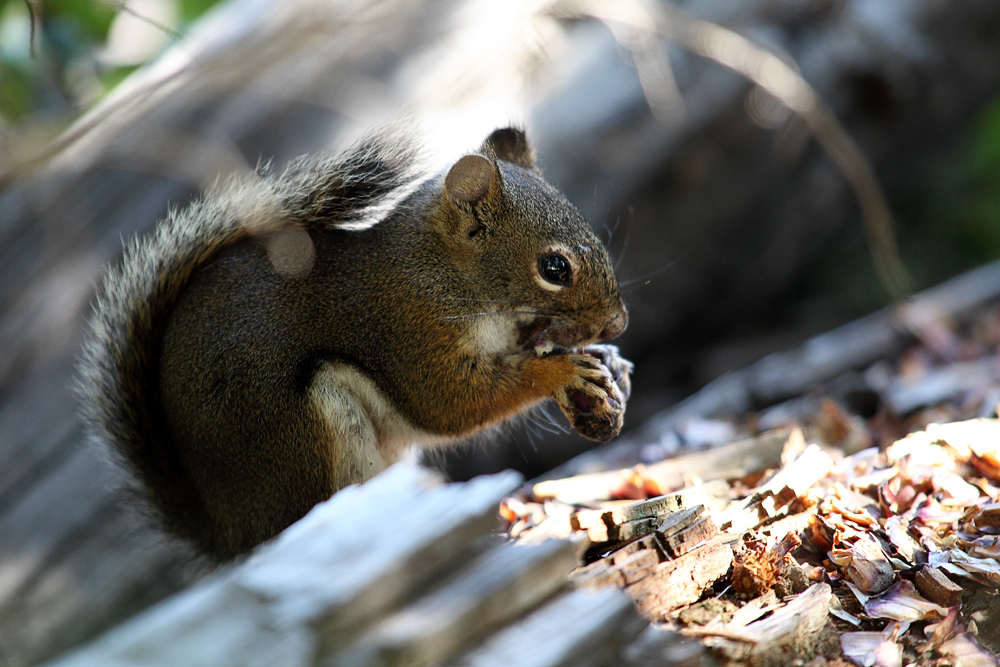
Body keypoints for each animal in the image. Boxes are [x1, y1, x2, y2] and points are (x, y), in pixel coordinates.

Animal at [78, 128, 628, 560]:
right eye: (554, 268)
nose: (618, 324)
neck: (444, 271)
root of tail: (233, 534)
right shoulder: (410, 330)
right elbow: (450, 405)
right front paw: (561, 371)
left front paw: (610, 363)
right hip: (306, 435)